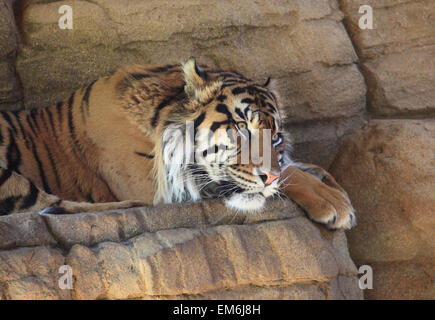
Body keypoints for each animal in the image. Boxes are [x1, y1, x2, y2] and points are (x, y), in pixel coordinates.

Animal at [0, 57, 356, 230]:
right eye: (241, 127)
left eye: (277, 136)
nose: (268, 177)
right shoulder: (166, 186)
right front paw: (335, 204)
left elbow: (293, 165)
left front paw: (328, 181)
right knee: (47, 205)